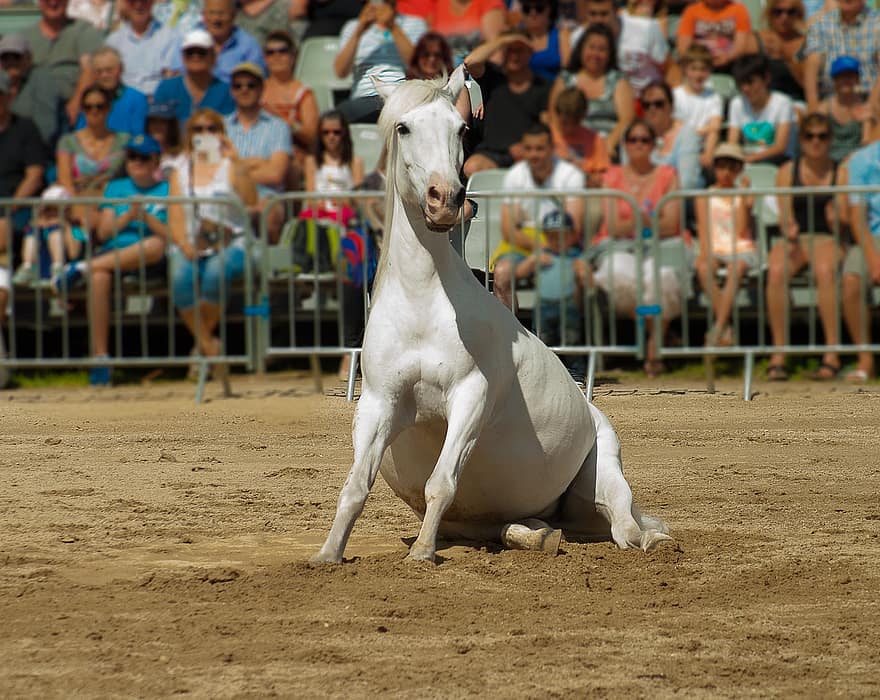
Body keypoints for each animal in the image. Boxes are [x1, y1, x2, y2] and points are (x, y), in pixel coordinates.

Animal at [312, 68, 672, 568]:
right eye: (403, 127)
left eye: (461, 129)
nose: (445, 199)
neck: (424, 304)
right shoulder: (379, 404)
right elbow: (355, 487)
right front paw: (328, 555)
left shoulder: (470, 397)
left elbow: (441, 483)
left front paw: (421, 554)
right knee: (523, 527)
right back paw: (539, 536)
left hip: (604, 475)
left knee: (625, 525)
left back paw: (654, 541)